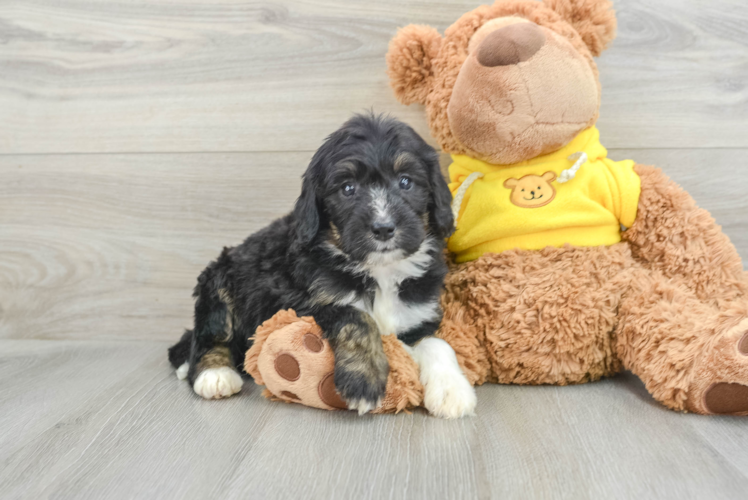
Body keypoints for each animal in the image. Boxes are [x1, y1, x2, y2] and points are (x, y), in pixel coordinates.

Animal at [167, 113, 476, 418]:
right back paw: (213, 373)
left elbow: (438, 344)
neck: (379, 271)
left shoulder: (417, 314)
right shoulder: (298, 305)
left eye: (405, 181)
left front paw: (452, 391)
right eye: (348, 188)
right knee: (209, 334)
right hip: (218, 281)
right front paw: (363, 380)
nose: (383, 228)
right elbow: (355, 315)